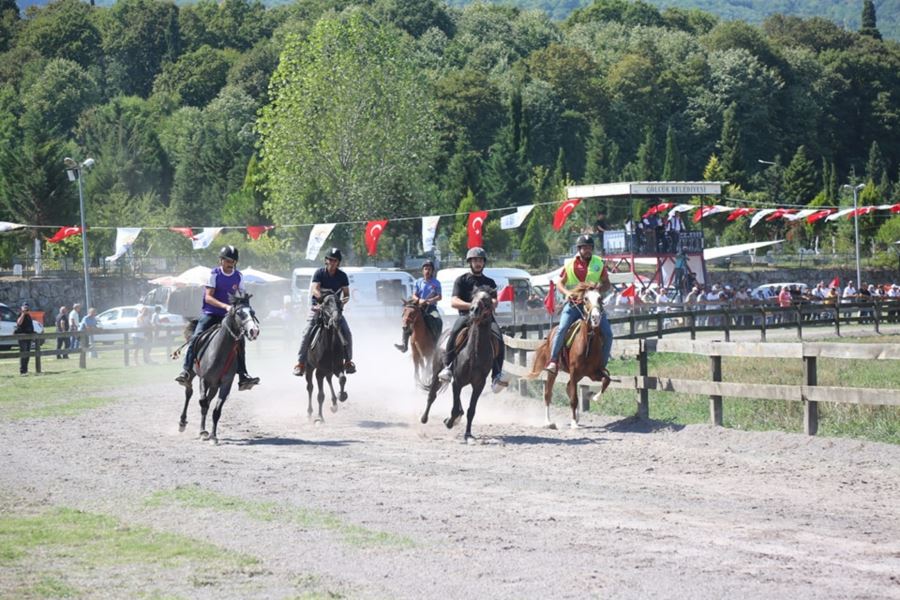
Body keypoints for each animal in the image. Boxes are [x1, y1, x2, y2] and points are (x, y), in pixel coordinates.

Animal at [178, 292, 258, 442]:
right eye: (239, 313)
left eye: (252, 312)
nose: (254, 331)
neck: (219, 352)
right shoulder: (204, 379)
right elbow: (202, 403)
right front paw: (203, 432)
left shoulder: (226, 383)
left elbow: (216, 410)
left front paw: (213, 436)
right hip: (192, 375)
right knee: (189, 393)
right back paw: (182, 423)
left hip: (215, 385)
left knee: (208, 400)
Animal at [306, 290, 348, 422]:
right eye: (325, 304)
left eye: (339, 302)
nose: (336, 319)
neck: (329, 346)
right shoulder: (319, 372)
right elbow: (320, 395)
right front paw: (320, 418)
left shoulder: (338, 367)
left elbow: (342, 379)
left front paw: (342, 395)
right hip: (309, 367)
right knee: (310, 387)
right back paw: (309, 412)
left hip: (329, 370)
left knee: (329, 379)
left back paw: (334, 403)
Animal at [422, 288, 500, 442]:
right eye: (473, 297)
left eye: (488, 300)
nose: (473, 310)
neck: (474, 354)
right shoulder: (457, 382)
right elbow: (454, 409)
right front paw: (450, 422)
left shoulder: (478, 385)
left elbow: (471, 410)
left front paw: (468, 434)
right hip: (437, 372)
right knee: (432, 395)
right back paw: (424, 418)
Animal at [524, 284, 608, 428]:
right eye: (585, 299)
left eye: (600, 298)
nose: (596, 317)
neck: (588, 341)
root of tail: (551, 333)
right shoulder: (574, 372)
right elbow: (574, 398)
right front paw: (574, 424)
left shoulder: (593, 372)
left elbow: (606, 380)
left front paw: (594, 396)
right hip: (553, 372)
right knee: (548, 394)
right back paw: (549, 422)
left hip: (580, 375)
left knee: (568, 388)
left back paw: (577, 416)